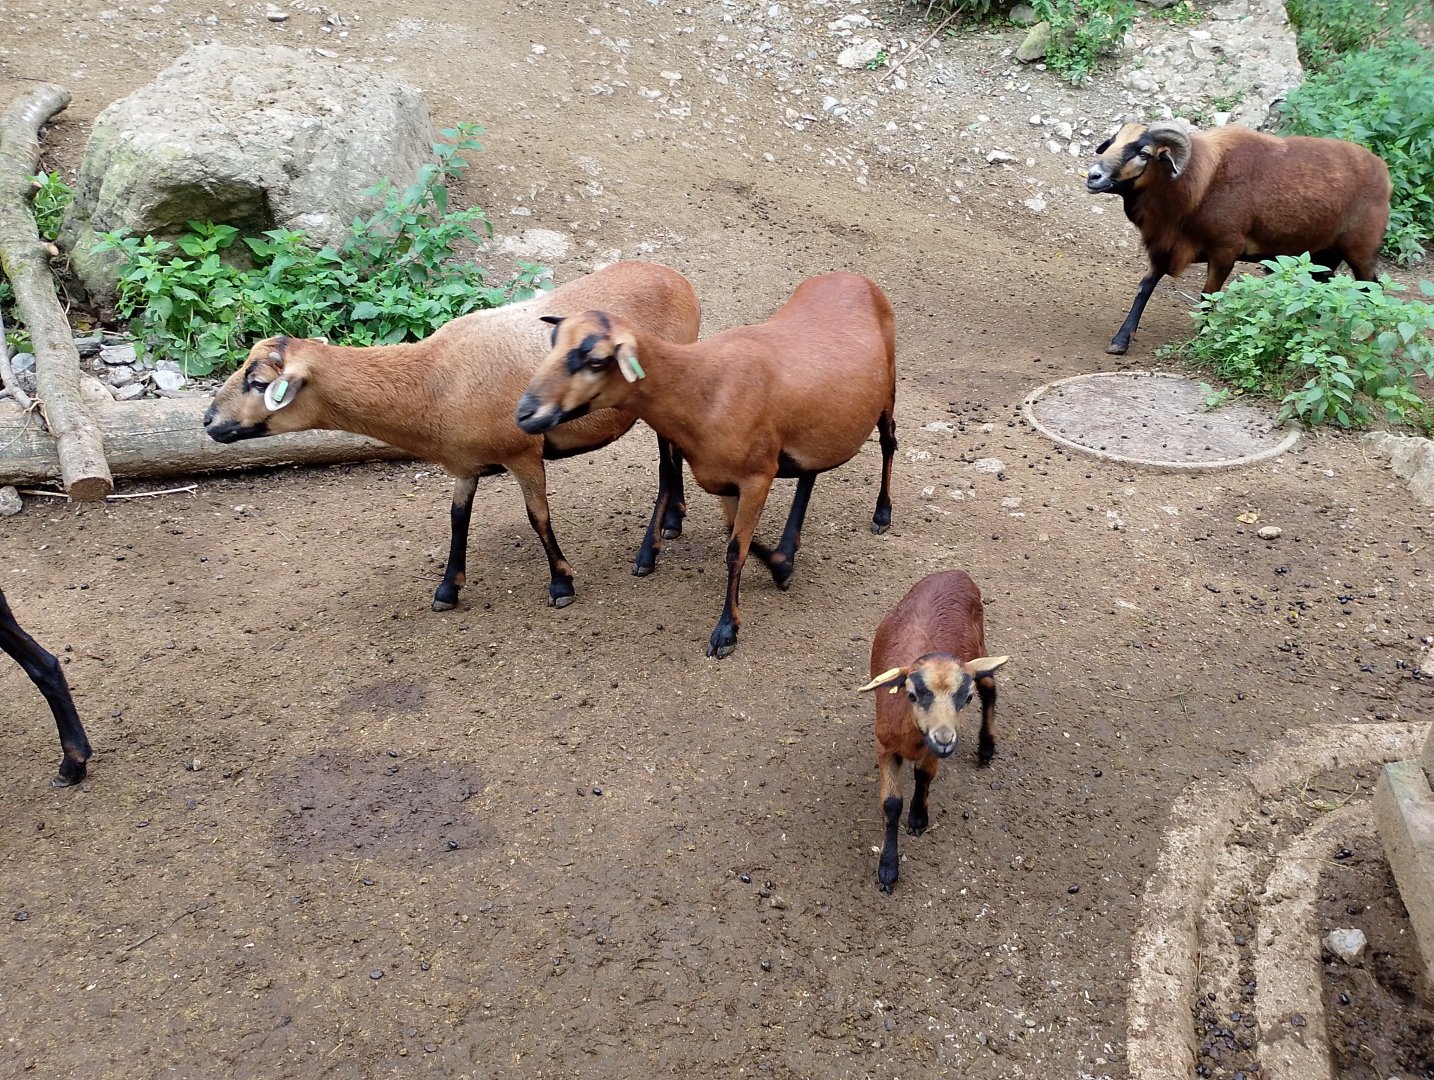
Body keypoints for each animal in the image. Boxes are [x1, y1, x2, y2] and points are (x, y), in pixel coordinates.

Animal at [203, 261, 701, 610]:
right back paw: (673, 521)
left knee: (665, 465)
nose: (208, 421)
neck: (433, 380)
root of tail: (678, 279)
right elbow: (457, 519)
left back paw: (648, 551)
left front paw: (561, 583)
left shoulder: (523, 453)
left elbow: (537, 517)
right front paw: (447, 588)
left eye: (258, 384)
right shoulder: (464, 463)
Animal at [514, 271, 898, 659]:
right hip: (818, 421)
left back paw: (882, 514)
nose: (524, 414)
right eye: (553, 345)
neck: (701, 388)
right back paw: (790, 546)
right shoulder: (725, 480)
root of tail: (850, 275)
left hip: (888, 387)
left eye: (595, 360)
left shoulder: (758, 477)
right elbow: (738, 538)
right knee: (810, 472)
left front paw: (727, 631)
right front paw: (781, 567)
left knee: (888, 441)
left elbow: (735, 552)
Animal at [858, 571, 1009, 892]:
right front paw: (888, 870)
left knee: (989, 686)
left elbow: (924, 775)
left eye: (966, 698)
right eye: (912, 694)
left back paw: (986, 748)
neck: (913, 739)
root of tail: (956, 572)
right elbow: (891, 803)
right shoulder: (885, 747)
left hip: (980, 646)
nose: (945, 740)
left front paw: (918, 817)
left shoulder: (932, 750)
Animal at [1085, 120, 1392, 354]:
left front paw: (1203, 339)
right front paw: (1120, 340)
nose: (1093, 176)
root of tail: (1383, 174)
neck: (1197, 186)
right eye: (1112, 142)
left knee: (1373, 289)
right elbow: (1144, 288)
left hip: (1361, 252)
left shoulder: (1224, 252)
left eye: (1144, 153)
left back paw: (1366, 339)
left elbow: (1208, 296)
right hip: (1322, 256)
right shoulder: (1166, 248)